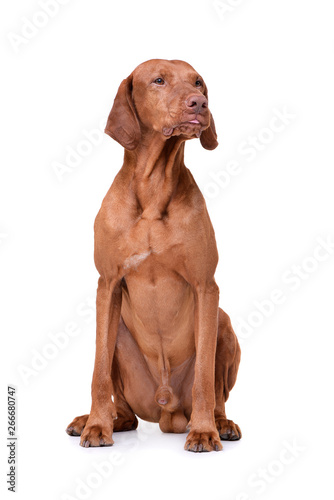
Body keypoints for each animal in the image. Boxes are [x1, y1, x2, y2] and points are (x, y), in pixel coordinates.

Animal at [66, 59, 241, 454]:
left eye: (198, 82)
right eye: (158, 80)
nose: (199, 104)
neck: (154, 188)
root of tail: (166, 409)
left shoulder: (206, 287)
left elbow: (205, 376)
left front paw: (203, 431)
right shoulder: (108, 285)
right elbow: (98, 371)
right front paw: (97, 425)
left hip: (223, 324)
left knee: (218, 393)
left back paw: (220, 423)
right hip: (120, 337)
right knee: (126, 412)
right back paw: (101, 419)